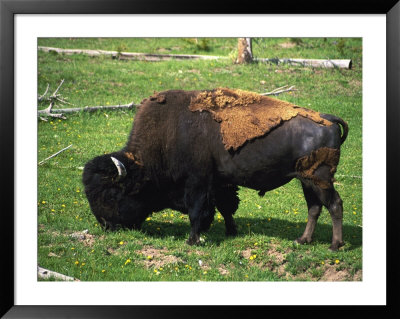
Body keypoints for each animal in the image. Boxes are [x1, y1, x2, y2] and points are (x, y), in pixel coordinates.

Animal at [83, 89, 348, 251]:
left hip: (320, 179)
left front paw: (193, 240)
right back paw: (302, 240)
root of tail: (327, 118)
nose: (106, 225)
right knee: (314, 208)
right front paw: (230, 231)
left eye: (111, 195)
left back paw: (335, 245)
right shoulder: (219, 183)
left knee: (334, 204)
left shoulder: (198, 182)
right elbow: (225, 207)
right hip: (306, 180)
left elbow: (196, 210)